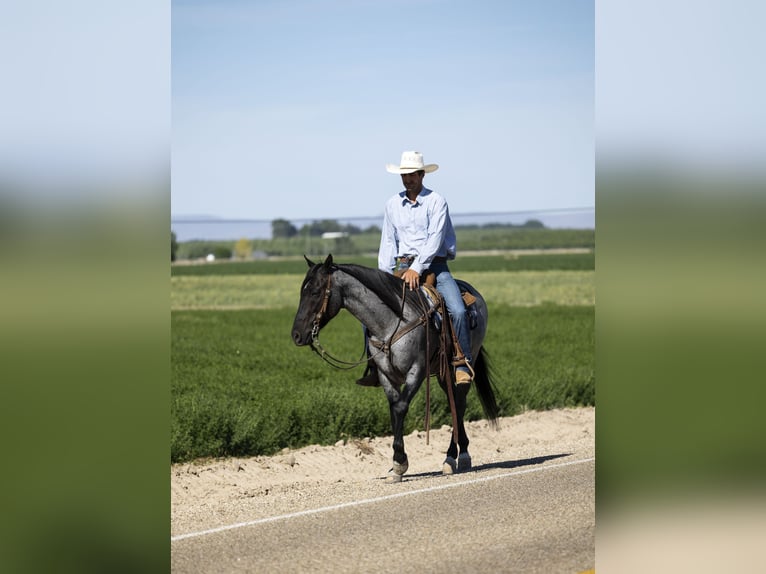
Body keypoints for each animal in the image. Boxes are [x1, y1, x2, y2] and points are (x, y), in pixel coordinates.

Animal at [292, 254, 500, 484]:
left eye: (315, 292)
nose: (297, 334)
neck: (392, 322)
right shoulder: (385, 375)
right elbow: (393, 409)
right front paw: (395, 467)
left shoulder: (416, 370)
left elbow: (400, 407)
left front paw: (400, 462)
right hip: (442, 373)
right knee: (454, 402)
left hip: (460, 364)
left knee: (460, 402)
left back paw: (456, 456)